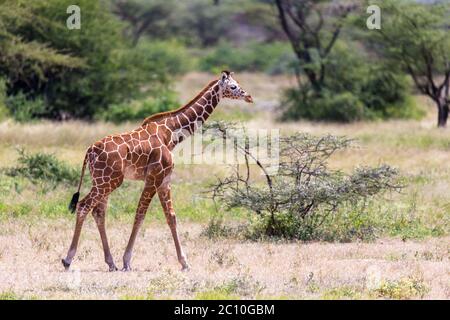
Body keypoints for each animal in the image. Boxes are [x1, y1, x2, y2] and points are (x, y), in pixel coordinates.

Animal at [60, 71, 253, 272]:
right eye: (233, 86)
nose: (249, 97)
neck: (171, 134)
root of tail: (90, 151)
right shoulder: (154, 177)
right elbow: (140, 215)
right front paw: (127, 261)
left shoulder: (164, 180)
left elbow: (171, 217)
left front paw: (184, 262)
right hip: (110, 181)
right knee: (84, 206)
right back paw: (68, 259)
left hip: (101, 180)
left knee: (98, 212)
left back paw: (110, 262)